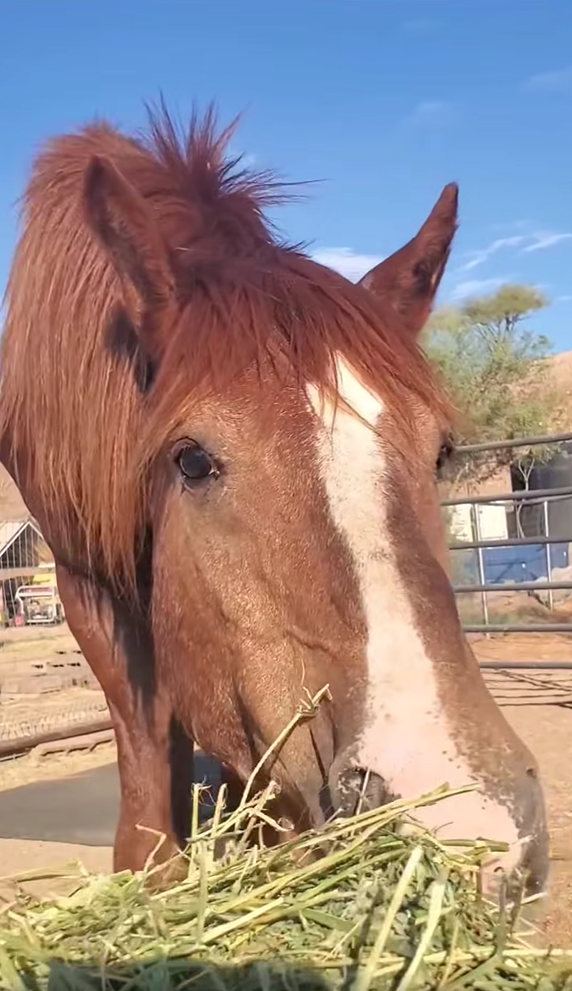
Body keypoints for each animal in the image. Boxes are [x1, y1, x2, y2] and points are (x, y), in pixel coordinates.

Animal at [0, 106, 548, 895]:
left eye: (442, 450)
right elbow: (143, 729)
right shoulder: (82, 579)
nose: (466, 822)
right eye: (193, 461)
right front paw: (152, 871)